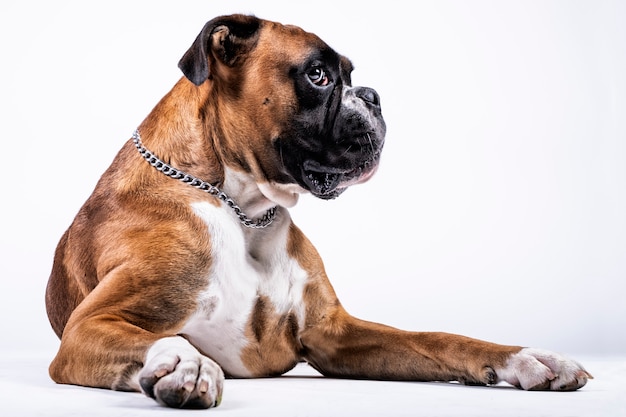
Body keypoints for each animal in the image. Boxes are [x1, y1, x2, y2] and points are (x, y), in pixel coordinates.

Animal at [45, 13, 588, 410]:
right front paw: (187, 364)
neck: (244, 208)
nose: (372, 95)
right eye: (318, 75)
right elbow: (161, 340)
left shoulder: (334, 334)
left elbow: (438, 339)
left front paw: (527, 358)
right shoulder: (88, 327)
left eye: (351, 75)